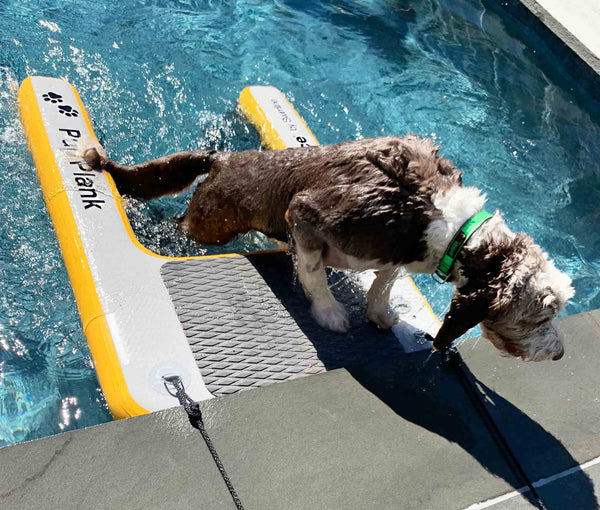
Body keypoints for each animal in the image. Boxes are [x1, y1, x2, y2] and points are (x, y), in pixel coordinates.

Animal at [82, 133, 576, 360]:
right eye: (540, 316)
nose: (558, 352)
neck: (451, 224)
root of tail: (224, 158)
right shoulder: (311, 213)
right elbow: (315, 272)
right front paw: (331, 313)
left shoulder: (394, 251)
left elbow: (383, 280)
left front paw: (379, 313)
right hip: (209, 223)